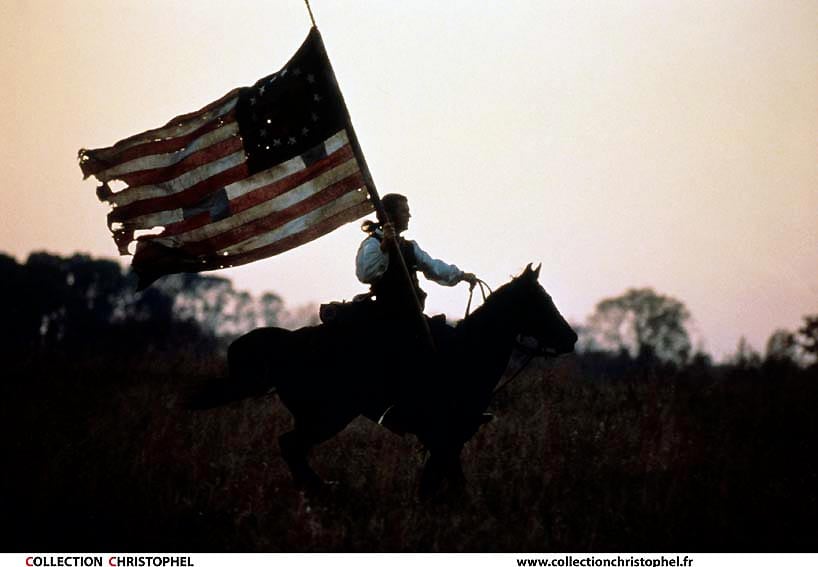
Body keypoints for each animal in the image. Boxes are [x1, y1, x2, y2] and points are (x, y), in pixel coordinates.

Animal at [190, 264, 572, 500]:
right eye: (542, 300)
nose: (572, 339)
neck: (467, 353)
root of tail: (285, 342)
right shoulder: (443, 435)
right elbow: (446, 481)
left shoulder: (447, 438)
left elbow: (441, 480)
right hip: (327, 417)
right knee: (290, 446)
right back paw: (324, 489)